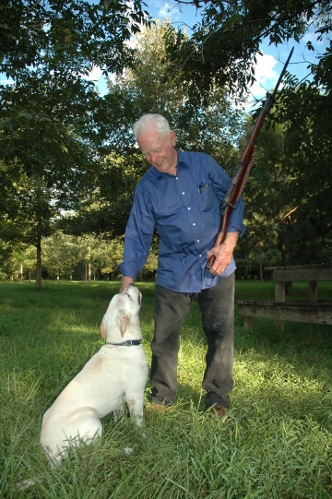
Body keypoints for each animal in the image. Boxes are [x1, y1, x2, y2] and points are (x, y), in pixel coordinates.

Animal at [39, 286, 147, 464]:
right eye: (128, 295)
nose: (129, 285)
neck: (122, 344)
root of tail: (51, 456)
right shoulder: (135, 395)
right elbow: (138, 422)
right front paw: (143, 437)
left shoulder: (120, 400)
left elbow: (119, 417)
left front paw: (120, 427)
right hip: (93, 421)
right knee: (94, 452)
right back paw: (126, 450)